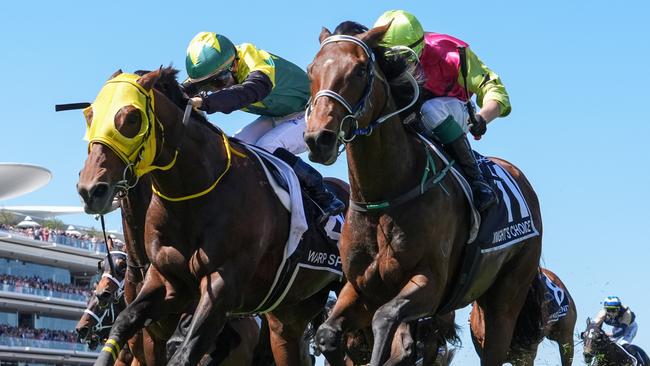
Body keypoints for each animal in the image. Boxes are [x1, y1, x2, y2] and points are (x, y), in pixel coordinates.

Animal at [76, 66, 346, 366]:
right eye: (90, 116)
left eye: (132, 117)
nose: (90, 189)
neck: (191, 194)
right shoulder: (166, 284)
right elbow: (125, 322)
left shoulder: (222, 285)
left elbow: (185, 353)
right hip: (290, 312)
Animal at [304, 22, 540, 366]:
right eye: (312, 70)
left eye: (360, 70)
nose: (318, 138)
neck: (385, 194)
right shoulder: (361, 287)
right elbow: (327, 334)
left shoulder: (431, 283)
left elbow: (385, 319)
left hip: (505, 299)